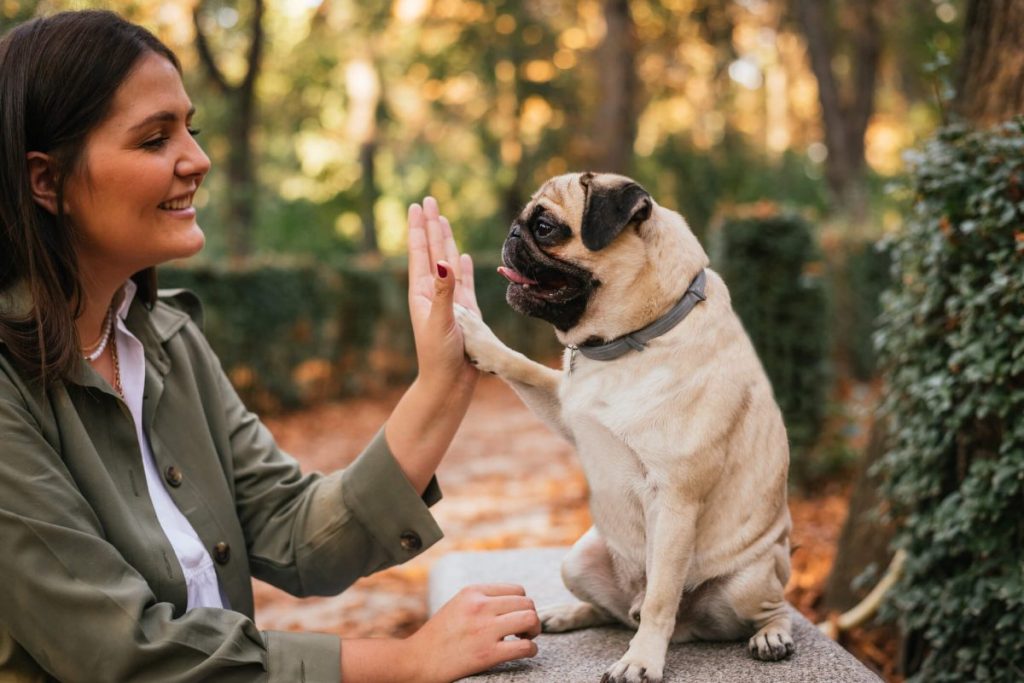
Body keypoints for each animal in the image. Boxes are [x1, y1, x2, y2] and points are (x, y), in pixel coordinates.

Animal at [456, 174, 798, 679]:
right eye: (524, 221)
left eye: (544, 227)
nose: (512, 233)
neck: (631, 340)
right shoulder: (565, 408)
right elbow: (526, 368)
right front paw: (481, 338)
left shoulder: (675, 501)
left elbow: (661, 597)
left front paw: (641, 661)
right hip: (577, 560)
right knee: (611, 612)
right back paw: (566, 614)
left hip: (749, 583)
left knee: (760, 608)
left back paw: (770, 635)